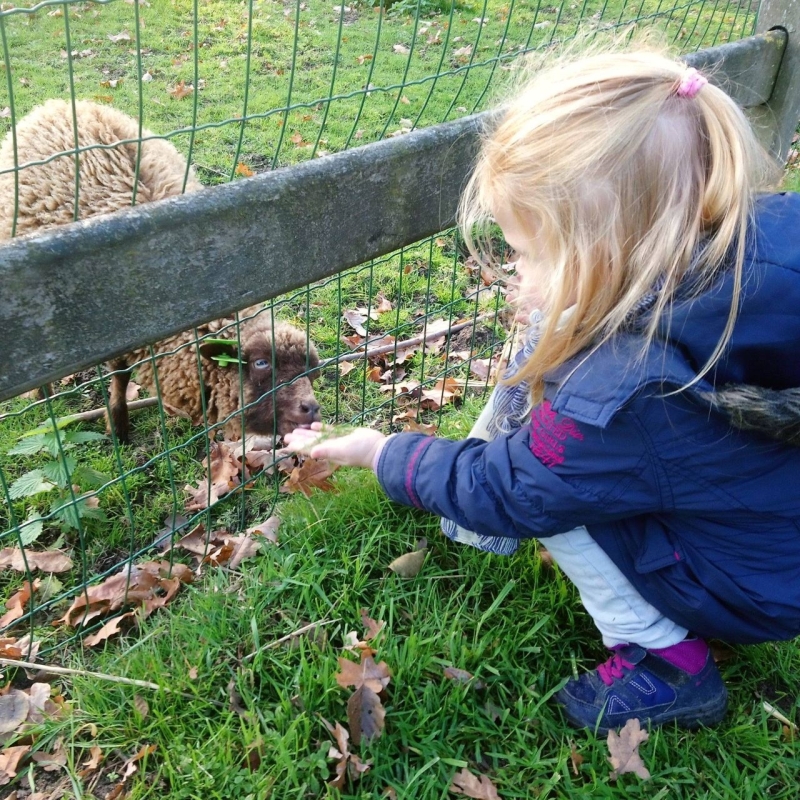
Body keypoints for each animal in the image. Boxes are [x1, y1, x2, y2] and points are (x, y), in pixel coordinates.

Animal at [2, 100, 322, 444]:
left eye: (311, 372)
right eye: (261, 363)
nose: (311, 408)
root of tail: (60, 104)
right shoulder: (117, 331)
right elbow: (120, 375)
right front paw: (118, 426)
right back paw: (43, 394)